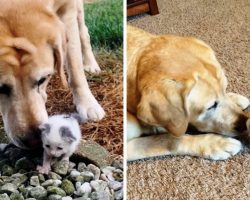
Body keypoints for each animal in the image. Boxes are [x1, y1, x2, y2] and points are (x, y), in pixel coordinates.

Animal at [0, 0, 104, 148]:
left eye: (42, 79)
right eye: (0, 88)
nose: (34, 140)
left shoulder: (68, 9)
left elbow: (75, 67)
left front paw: (88, 103)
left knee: (84, 32)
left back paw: (91, 64)